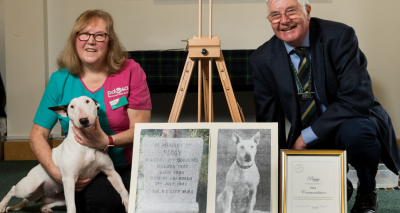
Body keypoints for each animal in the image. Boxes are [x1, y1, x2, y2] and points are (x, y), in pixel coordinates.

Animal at [0, 96, 128, 213]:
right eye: (71, 106)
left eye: (87, 101)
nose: (84, 120)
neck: (87, 145)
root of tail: (42, 196)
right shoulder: (69, 179)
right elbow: (72, 208)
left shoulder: (111, 172)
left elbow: (124, 191)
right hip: (28, 188)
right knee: (13, 189)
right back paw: (2, 205)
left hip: (60, 198)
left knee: (44, 205)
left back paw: (45, 208)